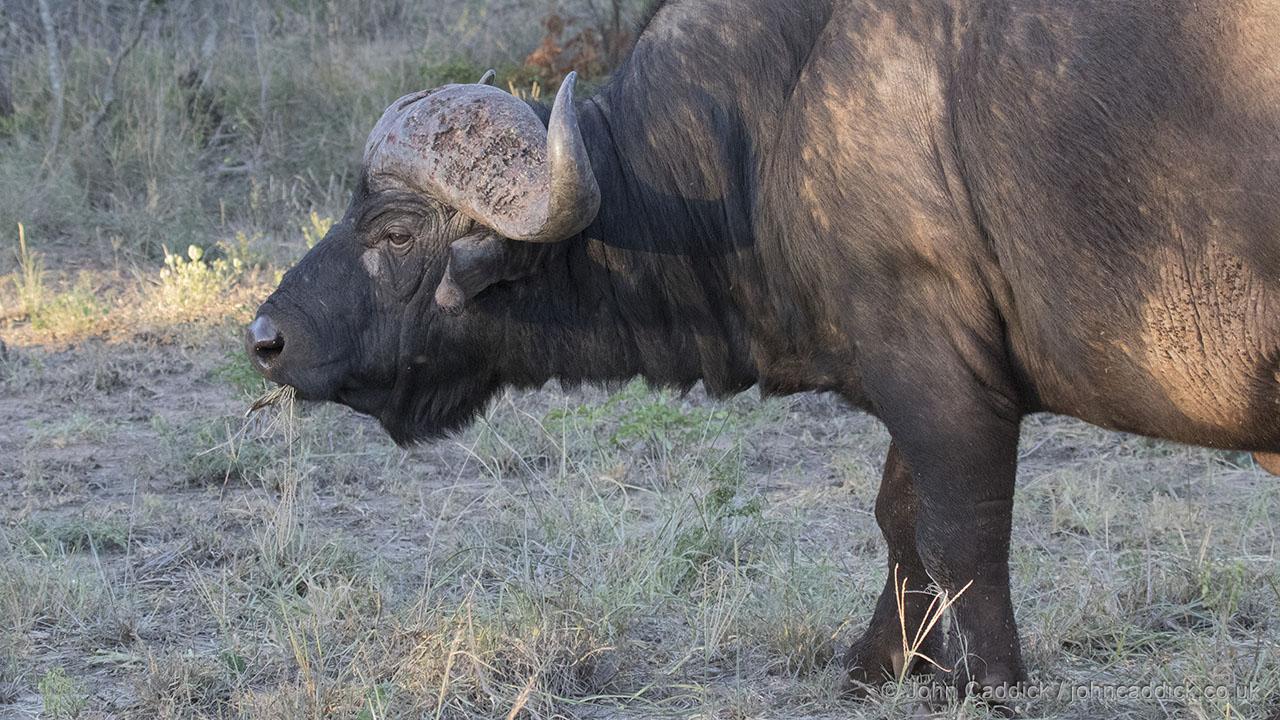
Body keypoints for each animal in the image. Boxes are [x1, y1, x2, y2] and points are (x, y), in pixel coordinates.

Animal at [246, 0, 1280, 700]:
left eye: (392, 231)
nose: (266, 338)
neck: (780, 119)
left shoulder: (951, 395)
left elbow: (960, 538)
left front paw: (986, 683)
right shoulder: (916, 382)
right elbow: (899, 521)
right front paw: (878, 664)